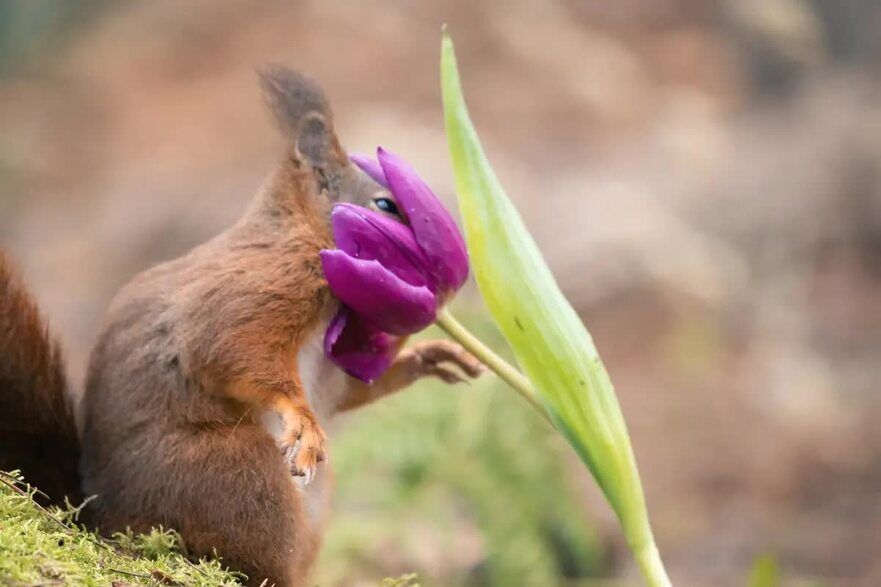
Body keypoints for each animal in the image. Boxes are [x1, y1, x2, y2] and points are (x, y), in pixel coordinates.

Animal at [0, 66, 482, 584]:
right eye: (387, 206)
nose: (448, 283)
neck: (300, 233)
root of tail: (98, 518)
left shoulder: (331, 364)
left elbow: (348, 392)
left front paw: (431, 357)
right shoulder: (263, 284)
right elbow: (231, 345)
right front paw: (302, 418)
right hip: (237, 475)